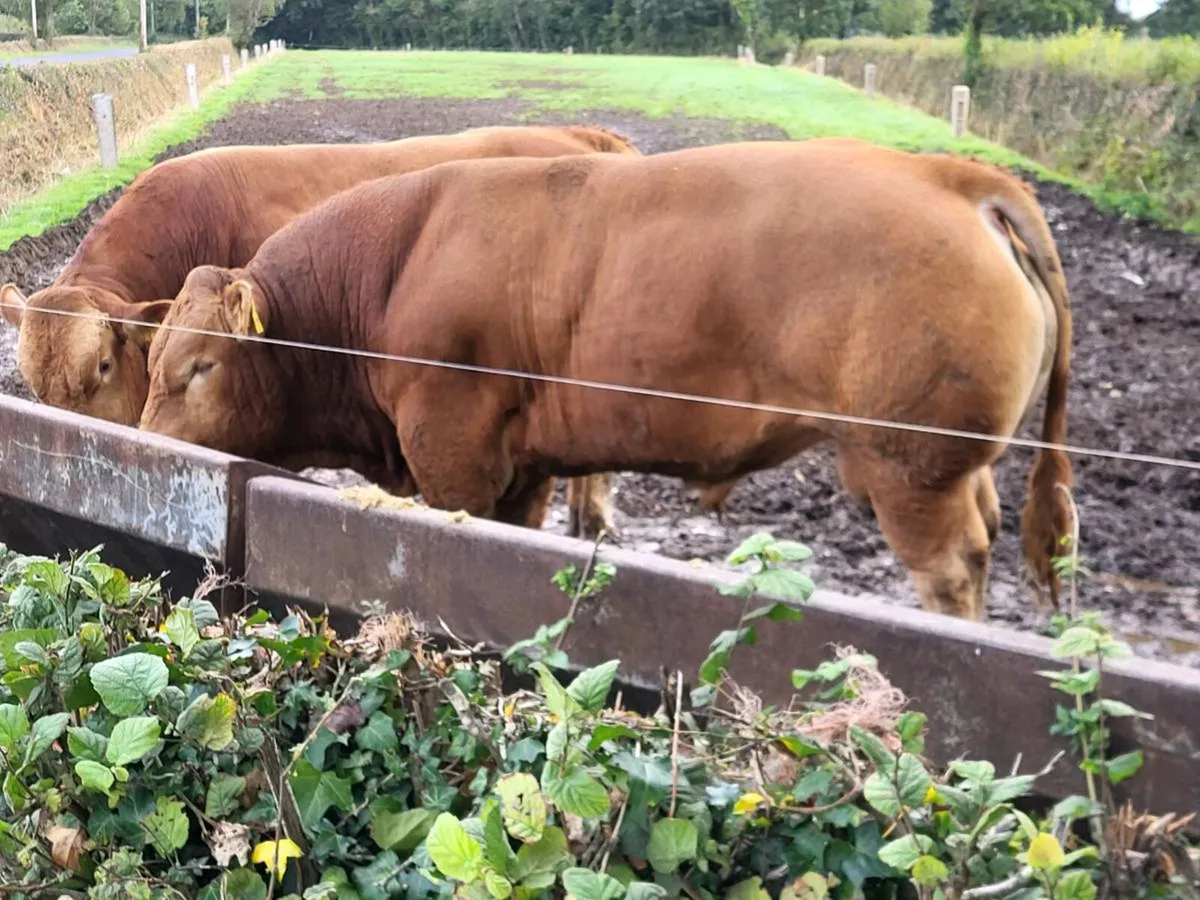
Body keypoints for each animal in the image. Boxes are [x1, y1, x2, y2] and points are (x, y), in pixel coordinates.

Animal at [137, 137, 1074, 621]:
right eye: (151, 363)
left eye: (200, 366)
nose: (141, 443)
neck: (392, 267)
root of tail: (958, 177)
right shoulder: (521, 467)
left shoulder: (452, 453)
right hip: (956, 465)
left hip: (911, 467)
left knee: (953, 569)